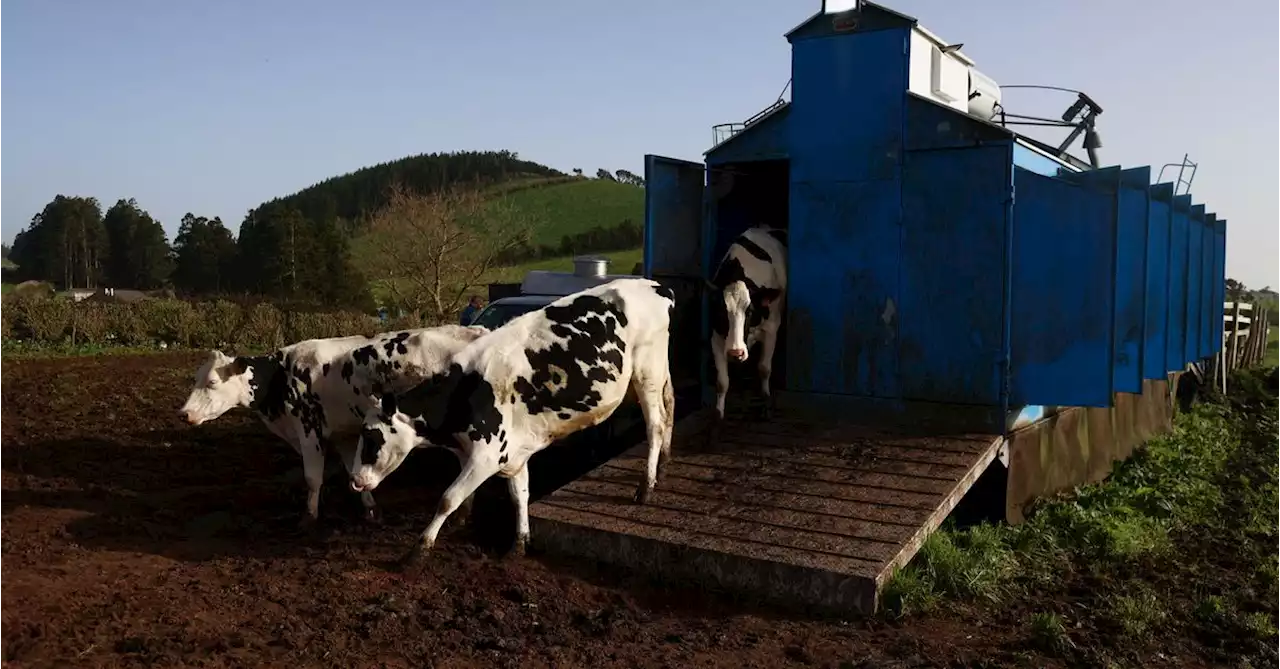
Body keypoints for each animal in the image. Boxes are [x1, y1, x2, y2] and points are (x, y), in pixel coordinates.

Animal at [183, 326, 491, 529]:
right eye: (195, 377)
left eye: (212, 382)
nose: (184, 414)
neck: (282, 376)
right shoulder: (344, 434)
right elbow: (352, 471)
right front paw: (370, 509)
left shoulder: (308, 429)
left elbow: (312, 478)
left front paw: (308, 517)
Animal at [345, 277, 675, 565]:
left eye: (371, 436)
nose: (355, 480)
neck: (466, 391)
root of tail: (654, 285)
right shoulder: (514, 452)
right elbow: (520, 496)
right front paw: (519, 544)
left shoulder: (488, 455)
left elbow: (448, 498)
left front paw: (418, 551)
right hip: (656, 373)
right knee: (670, 406)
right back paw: (664, 464)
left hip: (646, 372)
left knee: (655, 425)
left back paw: (646, 487)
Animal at [706, 227, 783, 422]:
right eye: (721, 312)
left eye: (749, 312)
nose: (736, 353)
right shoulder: (716, 336)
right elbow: (722, 381)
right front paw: (718, 413)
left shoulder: (772, 329)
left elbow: (764, 368)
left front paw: (766, 404)